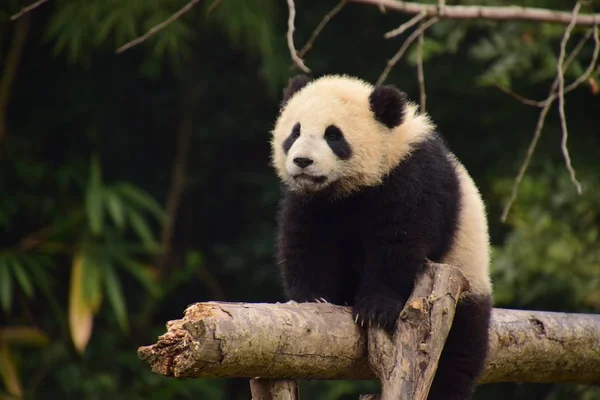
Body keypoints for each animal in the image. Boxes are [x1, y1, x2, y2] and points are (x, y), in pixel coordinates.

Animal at [270, 74, 492, 400]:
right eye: (294, 132)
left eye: (333, 136)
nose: (302, 161)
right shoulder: (311, 201)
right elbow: (307, 242)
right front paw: (310, 297)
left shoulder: (412, 178)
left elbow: (399, 243)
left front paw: (374, 309)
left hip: (466, 274)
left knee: (460, 351)